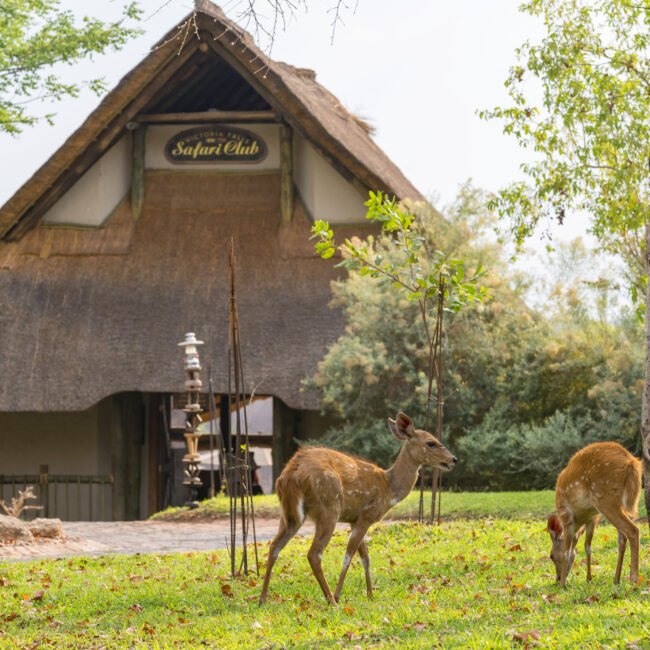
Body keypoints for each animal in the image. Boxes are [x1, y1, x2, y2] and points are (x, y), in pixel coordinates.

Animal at [256, 410, 456, 604]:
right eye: (431, 442)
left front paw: (371, 596)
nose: (453, 459)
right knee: (314, 554)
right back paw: (332, 601)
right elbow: (349, 554)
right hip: (329, 508)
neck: (389, 488)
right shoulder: (368, 514)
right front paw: (340, 595)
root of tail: (291, 474)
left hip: (289, 513)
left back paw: (262, 599)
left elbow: (366, 557)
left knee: (274, 547)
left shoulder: (355, 519)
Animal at [544, 440, 640, 588]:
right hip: (618, 503)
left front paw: (562, 585)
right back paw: (616, 579)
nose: (557, 578)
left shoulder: (567, 517)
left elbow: (566, 552)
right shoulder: (593, 517)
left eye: (551, 556)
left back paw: (634, 580)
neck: (581, 518)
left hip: (605, 498)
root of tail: (631, 461)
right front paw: (589, 578)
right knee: (622, 539)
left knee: (633, 530)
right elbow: (587, 546)